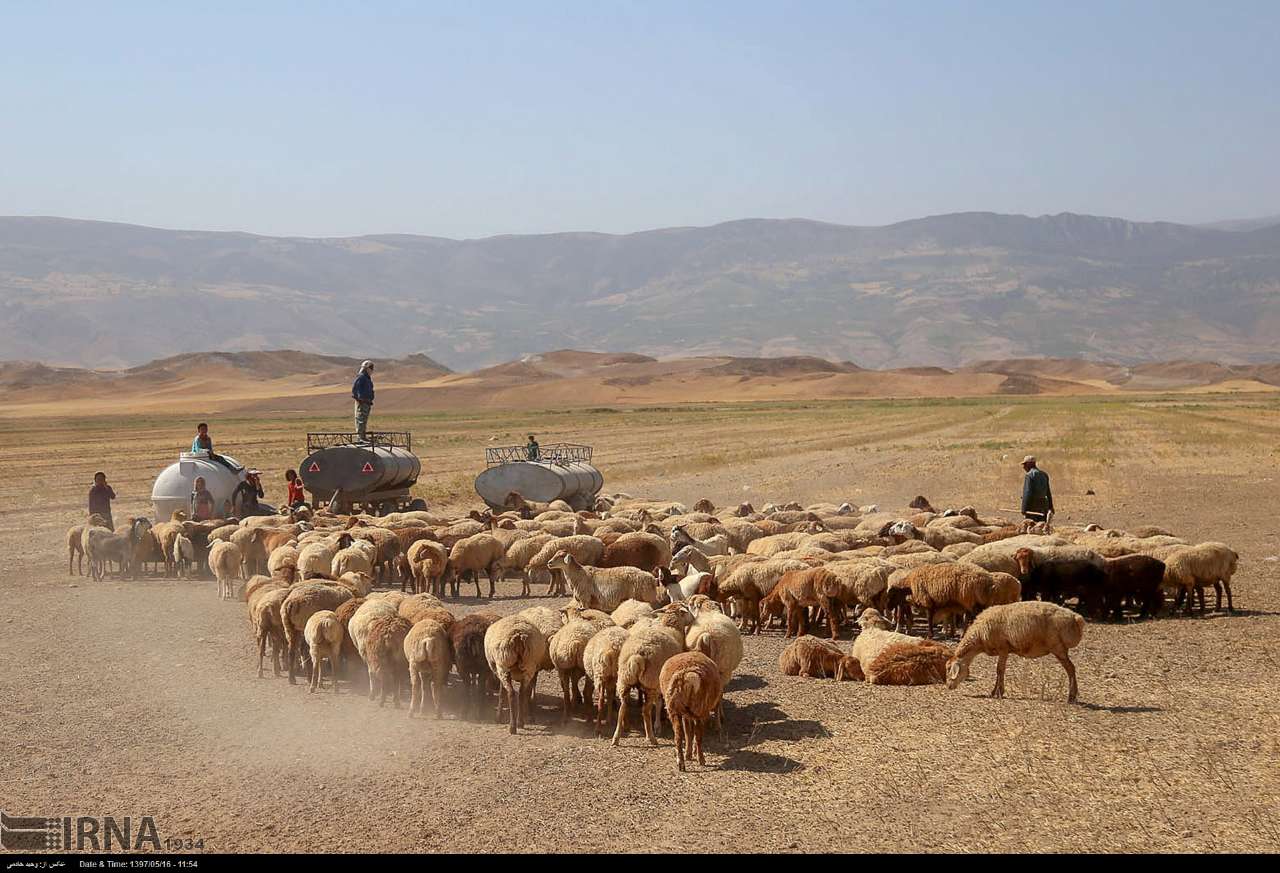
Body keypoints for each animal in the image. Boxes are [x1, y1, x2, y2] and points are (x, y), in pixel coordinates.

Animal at [614, 601, 696, 742]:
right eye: (687, 609)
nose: (694, 619)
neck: (670, 626)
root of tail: (637, 657)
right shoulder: (660, 683)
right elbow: (658, 703)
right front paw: (658, 726)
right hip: (650, 682)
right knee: (645, 711)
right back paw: (651, 737)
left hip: (624, 681)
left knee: (622, 708)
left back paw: (616, 738)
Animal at [947, 599, 1085, 701]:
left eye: (949, 669)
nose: (949, 686)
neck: (979, 637)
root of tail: (1076, 618)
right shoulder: (1004, 650)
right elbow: (999, 670)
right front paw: (995, 692)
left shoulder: (1003, 648)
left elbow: (999, 670)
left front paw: (998, 692)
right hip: (1060, 648)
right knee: (1071, 668)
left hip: (1058, 647)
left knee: (1070, 669)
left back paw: (1071, 697)